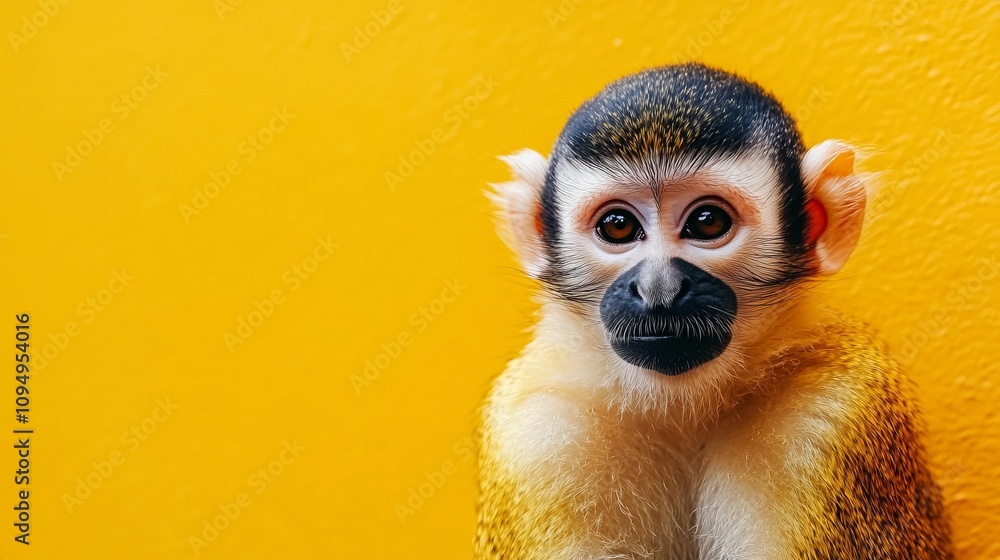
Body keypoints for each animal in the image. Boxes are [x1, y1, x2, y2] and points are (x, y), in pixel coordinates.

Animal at [475, 63, 952, 559]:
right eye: (618, 226)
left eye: (707, 222)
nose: (658, 287)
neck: (679, 407)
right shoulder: (536, 432)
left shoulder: (833, 414)